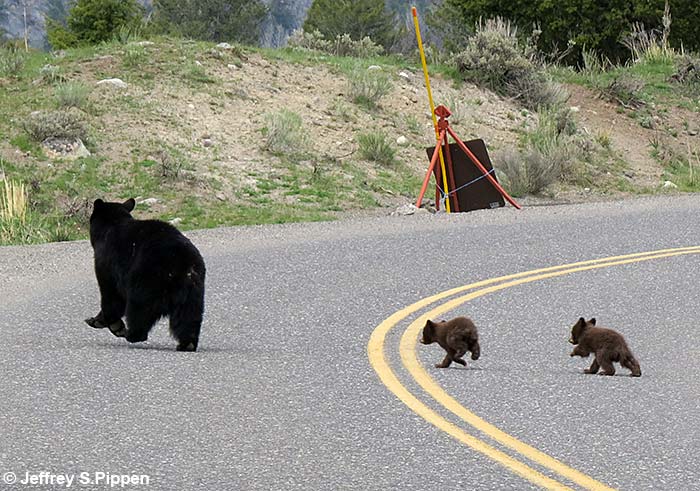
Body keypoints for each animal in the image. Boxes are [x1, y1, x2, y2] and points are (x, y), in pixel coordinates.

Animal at [84, 198, 206, 352]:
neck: (112, 225)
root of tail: (181, 262)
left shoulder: (107, 263)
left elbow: (112, 295)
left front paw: (107, 323)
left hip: (146, 280)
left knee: (139, 309)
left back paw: (132, 334)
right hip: (193, 289)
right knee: (188, 316)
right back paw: (187, 344)